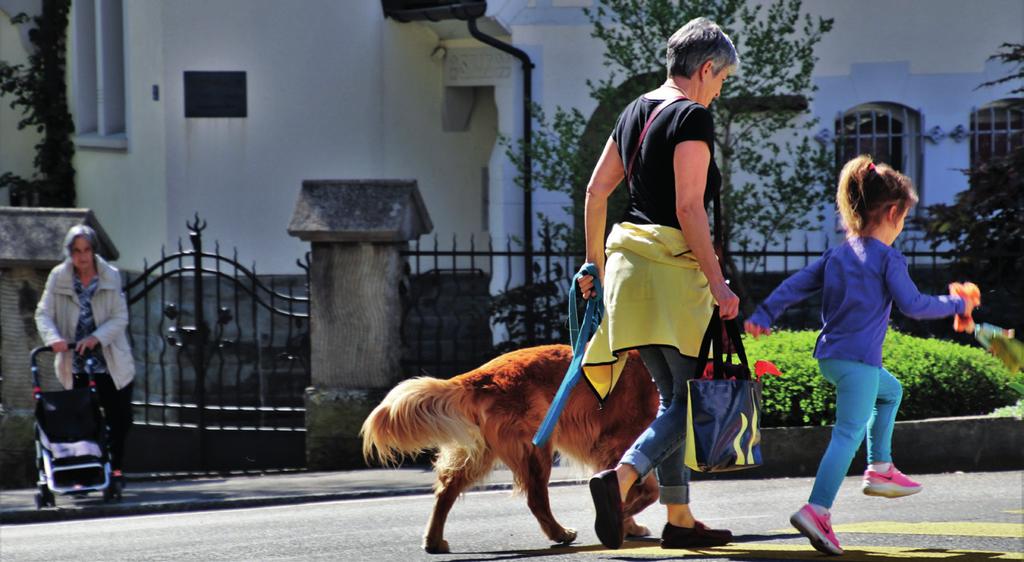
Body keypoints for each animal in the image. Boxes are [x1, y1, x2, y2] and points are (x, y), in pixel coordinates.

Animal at [364, 343, 659, 548]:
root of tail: (482, 375)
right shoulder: (620, 442)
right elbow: (644, 490)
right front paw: (621, 520)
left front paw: (626, 524)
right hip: (536, 447)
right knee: (536, 499)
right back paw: (559, 533)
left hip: (481, 453)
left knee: (446, 491)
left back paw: (434, 541)